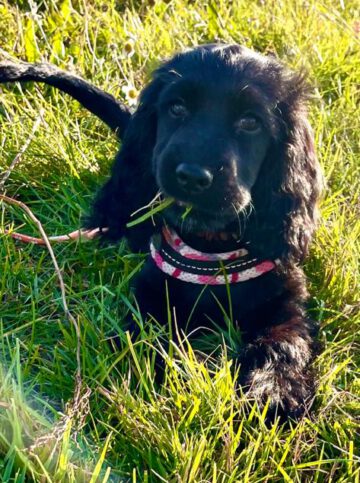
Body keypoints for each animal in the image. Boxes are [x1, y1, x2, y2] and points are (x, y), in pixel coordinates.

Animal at [0, 46, 322, 424]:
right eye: (177, 108)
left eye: (250, 122)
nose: (193, 176)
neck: (210, 252)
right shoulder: (151, 290)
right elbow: (148, 334)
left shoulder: (285, 299)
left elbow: (282, 343)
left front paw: (273, 391)